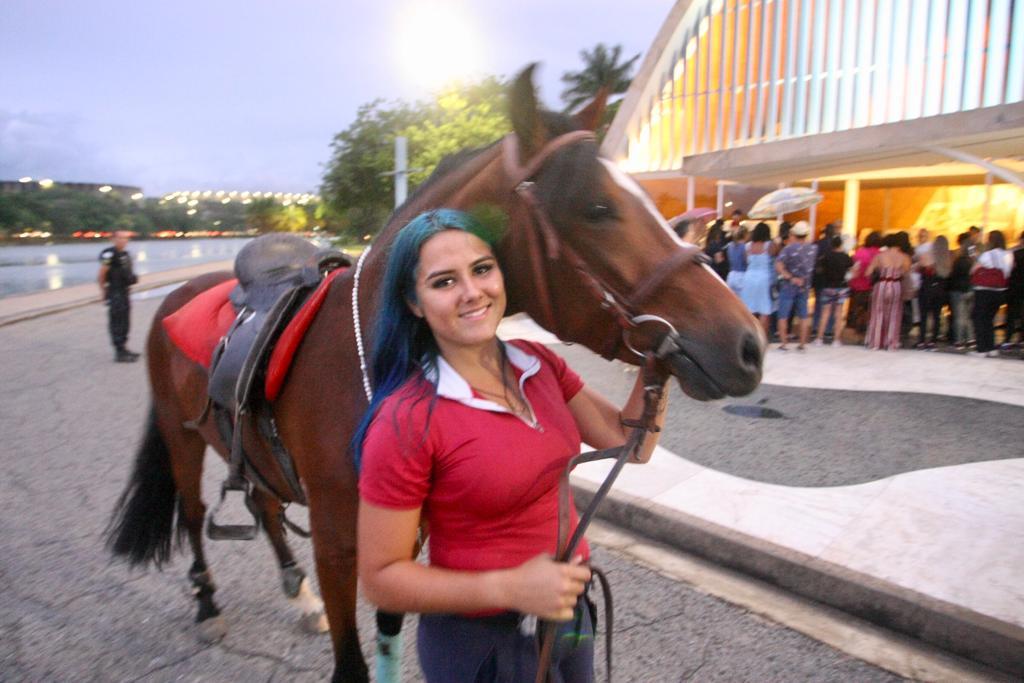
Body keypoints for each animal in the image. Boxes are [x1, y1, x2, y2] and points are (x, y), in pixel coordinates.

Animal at [108, 65, 765, 683]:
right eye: (596, 208)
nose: (749, 345)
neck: (370, 361)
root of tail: (173, 298)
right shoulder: (338, 542)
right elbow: (352, 663)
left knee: (264, 506)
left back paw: (297, 594)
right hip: (182, 438)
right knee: (195, 513)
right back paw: (208, 604)